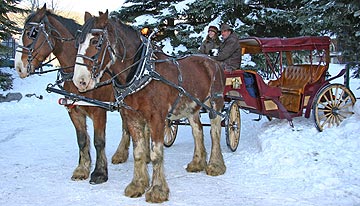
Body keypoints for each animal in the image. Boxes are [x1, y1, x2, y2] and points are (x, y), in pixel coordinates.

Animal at [13, 5, 135, 184]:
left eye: (32, 33)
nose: (19, 67)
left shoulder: (99, 111)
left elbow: (99, 141)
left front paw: (99, 172)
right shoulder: (74, 110)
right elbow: (82, 140)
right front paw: (82, 169)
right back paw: (121, 154)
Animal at [72, 11, 226, 203]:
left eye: (95, 41)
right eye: (78, 42)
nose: (79, 81)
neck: (141, 72)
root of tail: (213, 61)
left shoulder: (157, 118)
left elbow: (156, 154)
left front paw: (158, 190)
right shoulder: (132, 117)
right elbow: (138, 152)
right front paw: (137, 185)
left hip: (215, 104)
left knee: (215, 131)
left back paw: (215, 165)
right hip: (191, 107)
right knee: (197, 131)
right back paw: (197, 163)